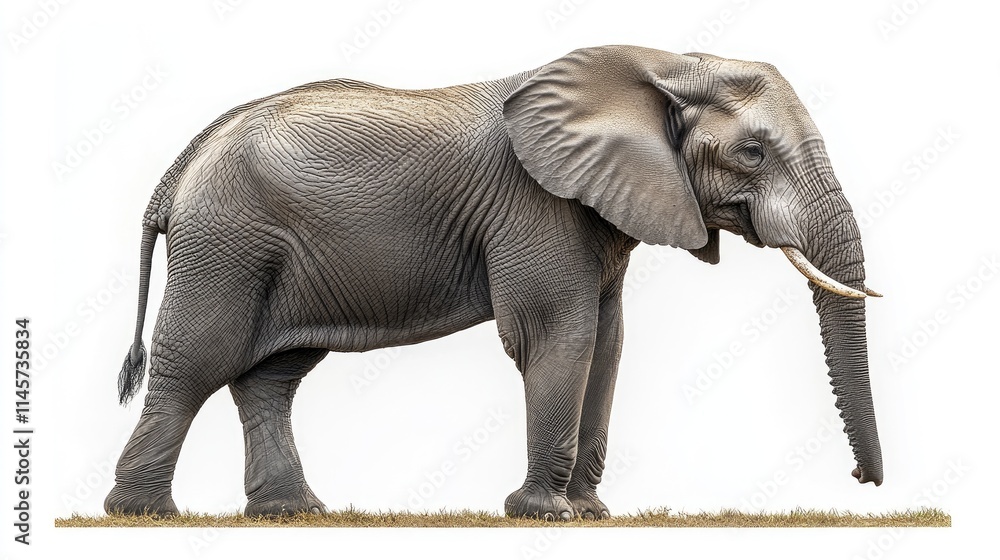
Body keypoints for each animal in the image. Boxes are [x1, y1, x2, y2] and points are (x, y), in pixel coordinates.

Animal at [105, 45, 883, 520]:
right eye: (752, 152)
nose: (862, 483)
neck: (660, 64)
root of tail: (181, 165)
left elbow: (608, 342)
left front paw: (589, 515)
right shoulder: (536, 206)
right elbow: (556, 334)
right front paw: (546, 514)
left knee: (271, 375)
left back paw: (293, 513)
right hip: (226, 243)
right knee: (196, 361)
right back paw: (142, 514)